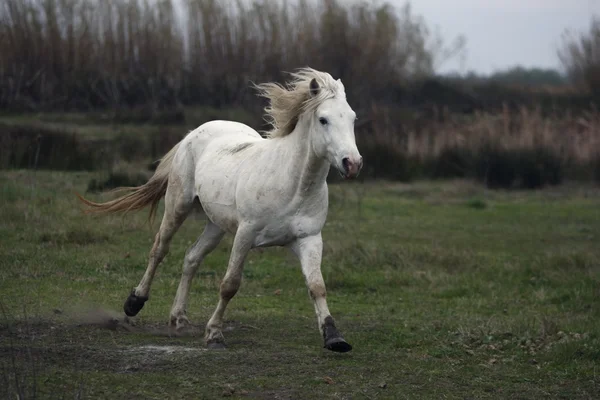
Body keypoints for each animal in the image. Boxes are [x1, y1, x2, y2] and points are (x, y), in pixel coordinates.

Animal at [78, 69, 364, 354]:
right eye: (323, 119)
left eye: (353, 118)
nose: (352, 164)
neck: (293, 185)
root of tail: (194, 133)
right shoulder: (245, 234)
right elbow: (230, 285)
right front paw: (214, 334)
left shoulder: (309, 239)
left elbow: (317, 287)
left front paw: (334, 338)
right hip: (178, 206)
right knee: (159, 249)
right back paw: (135, 302)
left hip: (216, 225)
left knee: (191, 257)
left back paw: (179, 319)